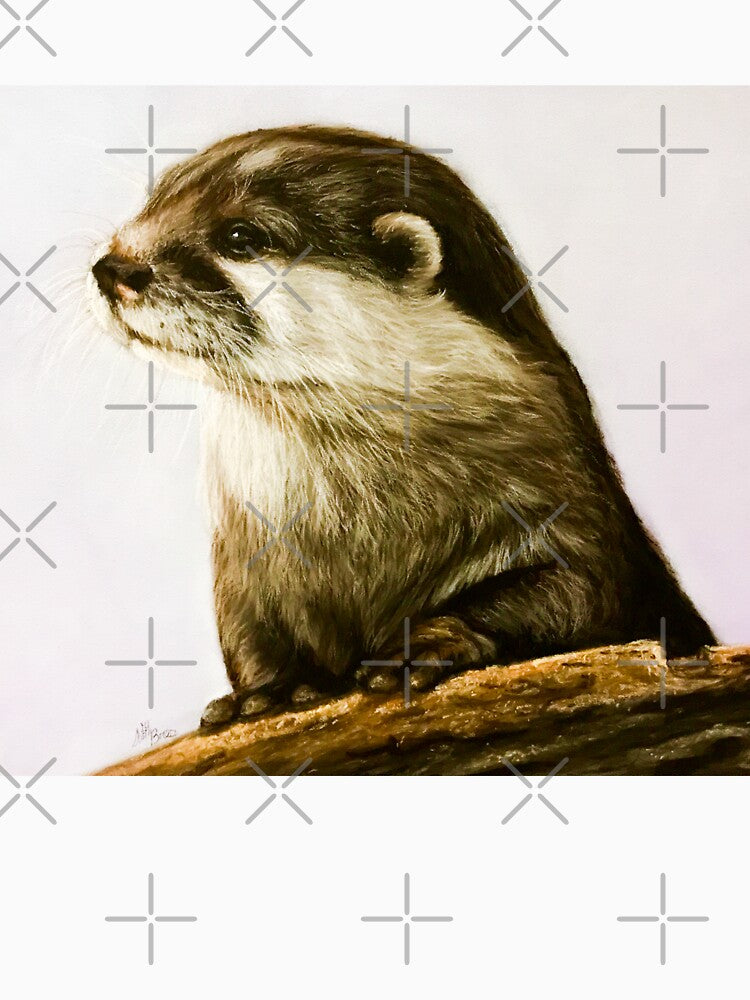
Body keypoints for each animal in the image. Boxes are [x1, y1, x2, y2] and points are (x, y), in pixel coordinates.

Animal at [87, 124, 716, 726]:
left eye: (240, 236)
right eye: (153, 201)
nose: (114, 267)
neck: (356, 527)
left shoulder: (572, 508)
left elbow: (581, 593)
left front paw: (430, 641)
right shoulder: (243, 560)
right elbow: (249, 634)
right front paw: (271, 689)